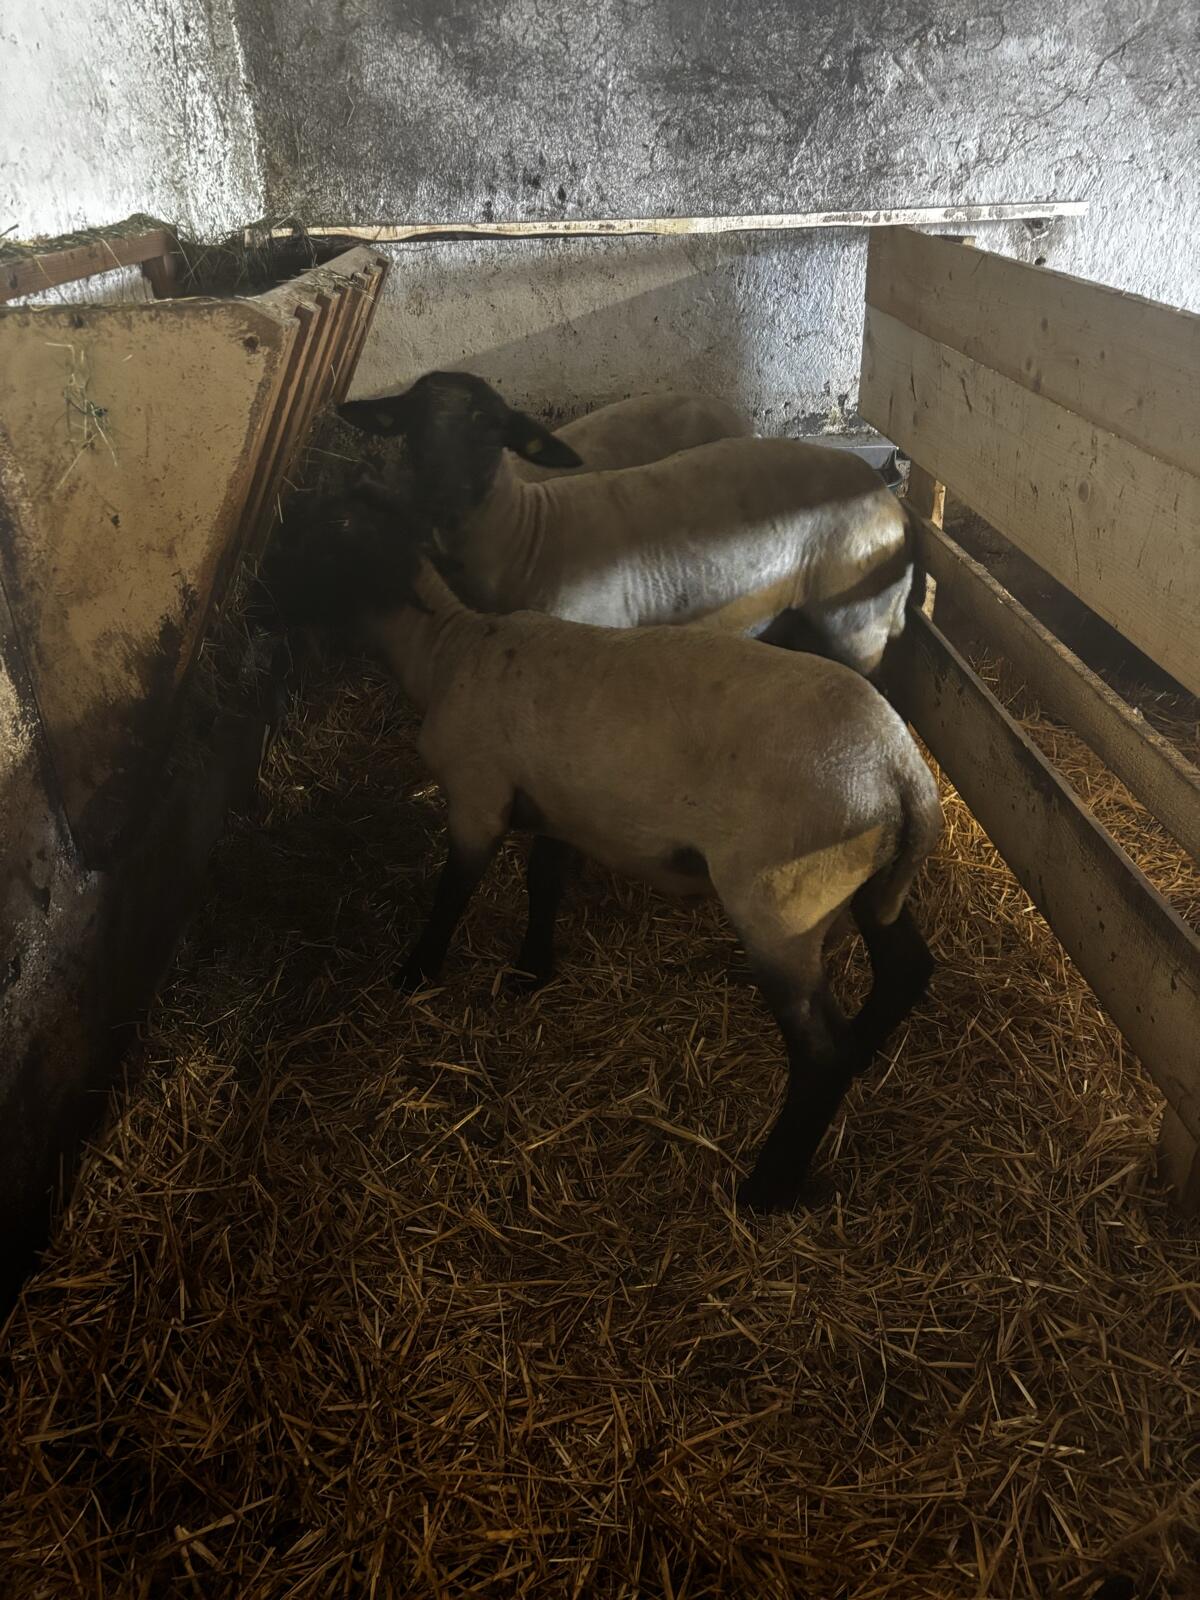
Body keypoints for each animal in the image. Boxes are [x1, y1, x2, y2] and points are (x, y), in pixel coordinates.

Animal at [257, 484, 942, 1211]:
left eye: (318, 545)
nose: (259, 597)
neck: (448, 652)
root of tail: (903, 772)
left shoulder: (477, 799)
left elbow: (453, 892)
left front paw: (416, 972)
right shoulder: (562, 810)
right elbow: (544, 882)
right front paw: (530, 970)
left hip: (782, 910)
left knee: (819, 1053)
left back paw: (767, 1186)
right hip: (866, 884)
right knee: (906, 967)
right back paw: (864, 1052)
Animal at [338, 370, 917, 677]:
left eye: (491, 433)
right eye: (410, 430)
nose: (438, 502)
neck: (528, 533)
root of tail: (892, 507)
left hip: (857, 627)